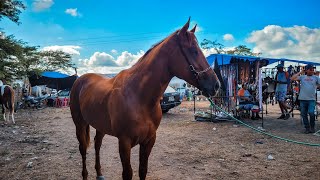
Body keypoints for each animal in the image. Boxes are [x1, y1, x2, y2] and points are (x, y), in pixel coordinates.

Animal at [69, 18, 221, 180]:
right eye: (194, 50)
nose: (216, 85)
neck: (138, 96)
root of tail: (80, 80)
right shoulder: (124, 142)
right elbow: (127, 173)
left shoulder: (149, 141)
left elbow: (143, 170)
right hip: (80, 124)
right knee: (83, 149)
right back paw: (85, 174)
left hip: (100, 125)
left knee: (97, 144)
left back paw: (99, 174)